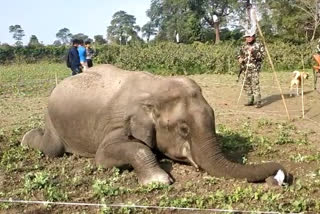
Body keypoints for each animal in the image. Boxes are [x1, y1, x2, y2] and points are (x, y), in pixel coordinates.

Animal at [21, 64, 292, 186]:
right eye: (183, 129)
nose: (279, 177)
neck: (155, 88)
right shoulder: (118, 122)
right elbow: (103, 156)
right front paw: (159, 180)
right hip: (52, 119)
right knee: (52, 148)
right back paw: (25, 140)